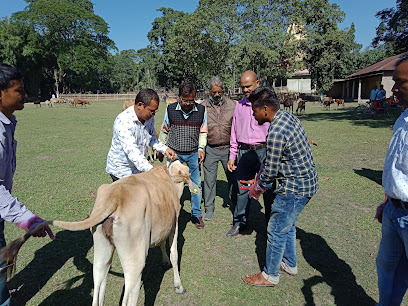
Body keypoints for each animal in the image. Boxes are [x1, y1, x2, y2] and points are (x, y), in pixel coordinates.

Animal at [0, 160, 199, 306]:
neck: (168, 181)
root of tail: (115, 197)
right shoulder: (174, 225)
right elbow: (174, 253)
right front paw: (178, 286)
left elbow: (163, 244)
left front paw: (164, 261)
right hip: (135, 258)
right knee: (130, 294)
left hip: (101, 250)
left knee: (98, 286)